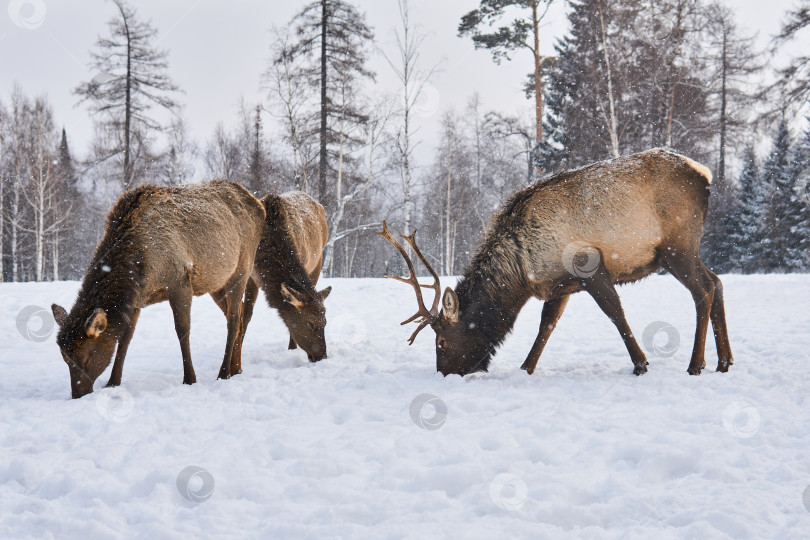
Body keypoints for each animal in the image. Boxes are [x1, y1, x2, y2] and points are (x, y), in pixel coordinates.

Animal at [50, 180, 266, 396]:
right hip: (215, 282)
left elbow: (182, 329)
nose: (78, 394)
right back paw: (236, 368)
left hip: (242, 268)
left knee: (234, 319)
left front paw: (190, 379)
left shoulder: (179, 280)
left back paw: (224, 372)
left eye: (86, 359)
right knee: (238, 315)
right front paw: (113, 382)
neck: (139, 266)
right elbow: (125, 339)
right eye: (65, 359)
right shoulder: (137, 299)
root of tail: (258, 205)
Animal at [237, 190, 332, 362]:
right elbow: (246, 315)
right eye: (311, 323)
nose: (322, 356)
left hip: (318, 261)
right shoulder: (251, 276)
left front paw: (291, 348)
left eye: (326, 322)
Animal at [378, 148, 732, 376]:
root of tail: (705, 175)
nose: (444, 374)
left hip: (677, 247)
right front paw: (526, 367)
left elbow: (615, 313)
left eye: (440, 341)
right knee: (717, 281)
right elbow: (546, 325)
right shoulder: (559, 285)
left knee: (703, 289)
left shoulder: (590, 265)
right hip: (684, 251)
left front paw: (641, 363)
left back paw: (696, 364)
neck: (522, 272)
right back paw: (724, 361)